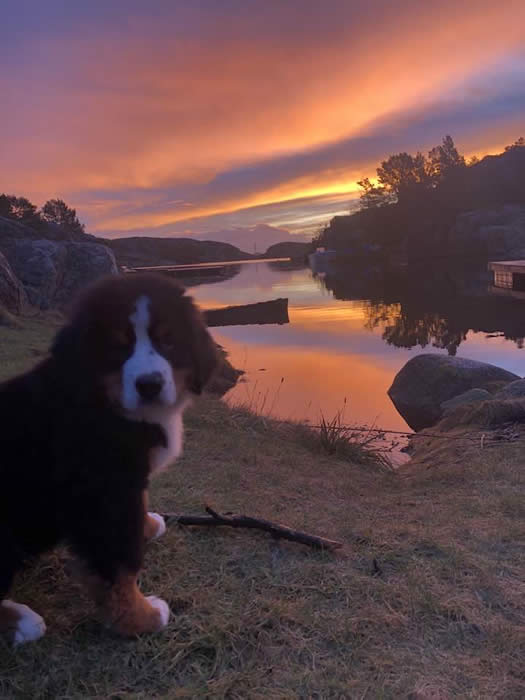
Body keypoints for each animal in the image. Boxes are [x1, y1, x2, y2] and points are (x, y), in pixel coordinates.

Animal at [0, 270, 217, 644]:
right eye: (119, 346)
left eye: (168, 342)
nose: (149, 384)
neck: (104, 400)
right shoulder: (102, 494)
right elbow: (119, 566)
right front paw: (141, 618)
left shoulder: (126, 483)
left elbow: (137, 512)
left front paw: (148, 524)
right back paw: (21, 622)